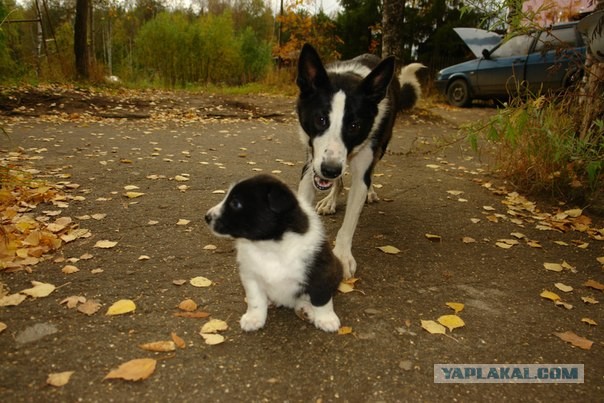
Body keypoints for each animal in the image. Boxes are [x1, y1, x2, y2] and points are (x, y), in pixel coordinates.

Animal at [205, 175, 342, 332]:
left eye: (235, 203)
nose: (206, 217)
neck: (269, 246)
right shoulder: (250, 275)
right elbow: (255, 300)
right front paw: (253, 318)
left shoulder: (322, 272)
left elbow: (321, 299)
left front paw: (326, 319)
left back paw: (306, 308)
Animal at [294, 42, 422, 280]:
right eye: (320, 119)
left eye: (354, 126)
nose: (330, 170)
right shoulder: (311, 163)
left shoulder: (359, 166)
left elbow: (350, 220)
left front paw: (343, 256)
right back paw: (330, 200)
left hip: (381, 146)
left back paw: (368, 192)